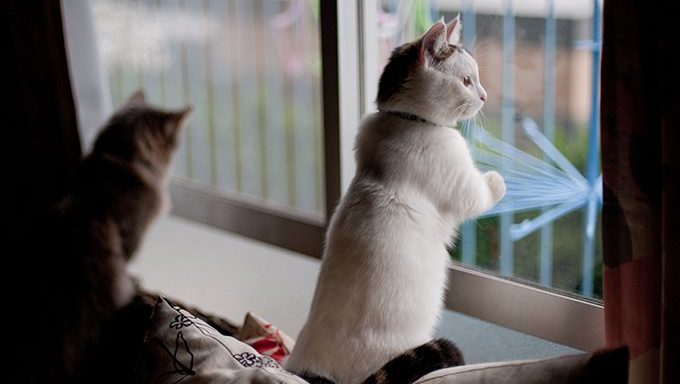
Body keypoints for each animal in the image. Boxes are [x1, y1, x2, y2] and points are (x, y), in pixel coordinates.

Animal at [286, 16, 504, 382]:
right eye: (466, 81)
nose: (486, 96)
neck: (403, 119)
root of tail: (307, 373)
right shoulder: (459, 181)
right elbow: (482, 193)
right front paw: (500, 179)